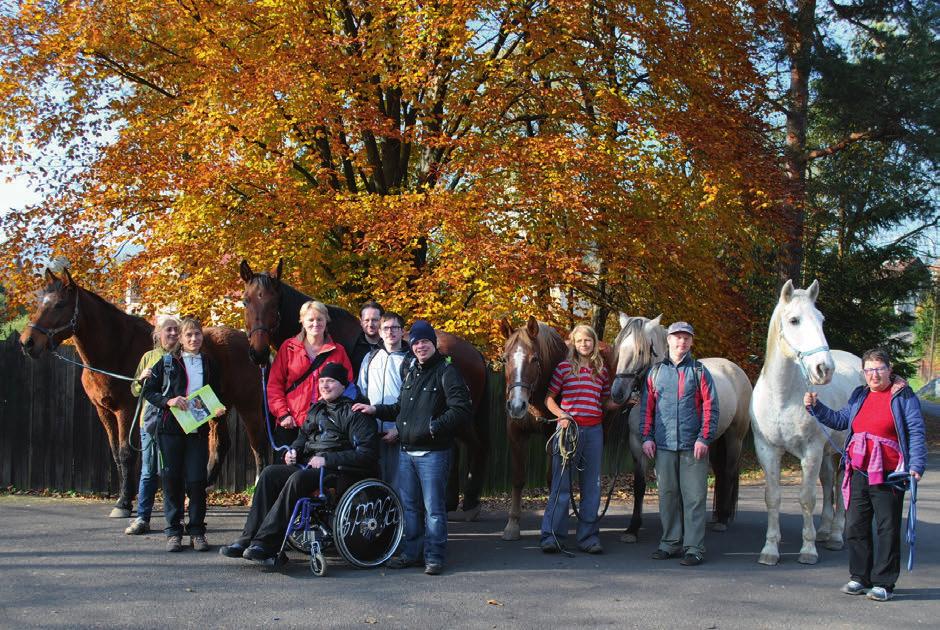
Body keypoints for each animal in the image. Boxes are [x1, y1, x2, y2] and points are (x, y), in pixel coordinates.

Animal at [19, 270, 268, 520]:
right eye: (40, 302)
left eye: (59, 304)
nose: (27, 342)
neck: (116, 349)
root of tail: (250, 345)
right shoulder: (104, 411)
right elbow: (116, 454)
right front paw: (126, 498)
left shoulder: (126, 409)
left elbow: (126, 453)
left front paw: (123, 503)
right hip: (218, 407)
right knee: (220, 446)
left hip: (249, 406)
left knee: (258, 445)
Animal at [241, 260, 492, 520]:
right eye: (246, 301)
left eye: (274, 303)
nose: (258, 353)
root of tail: (473, 352)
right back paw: (450, 502)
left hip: (461, 417)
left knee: (477, 447)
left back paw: (470, 503)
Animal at [608, 314, 756, 540]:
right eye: (619, 347)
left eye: (640, 351)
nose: (617, 393)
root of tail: (735, 370)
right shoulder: (637, 445)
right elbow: (640, 486)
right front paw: (633, 529)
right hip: (714, 441)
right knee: (720, 474)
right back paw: (716, 516)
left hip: (734, 438)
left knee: (729, 472)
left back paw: (723, 519)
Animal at [744, 282, 864, 568]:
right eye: (794, 320)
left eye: (821, 320)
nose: (824, 369)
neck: (782, 396)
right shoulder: (767, 450)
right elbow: (773, 498)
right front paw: (770, 549)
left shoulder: (811, 451)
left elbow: (806, 499)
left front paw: (808, 550)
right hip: (827, 454)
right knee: (829, 482)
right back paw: (824, 530)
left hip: (840, 451)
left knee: (840, 486)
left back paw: (835, 535)